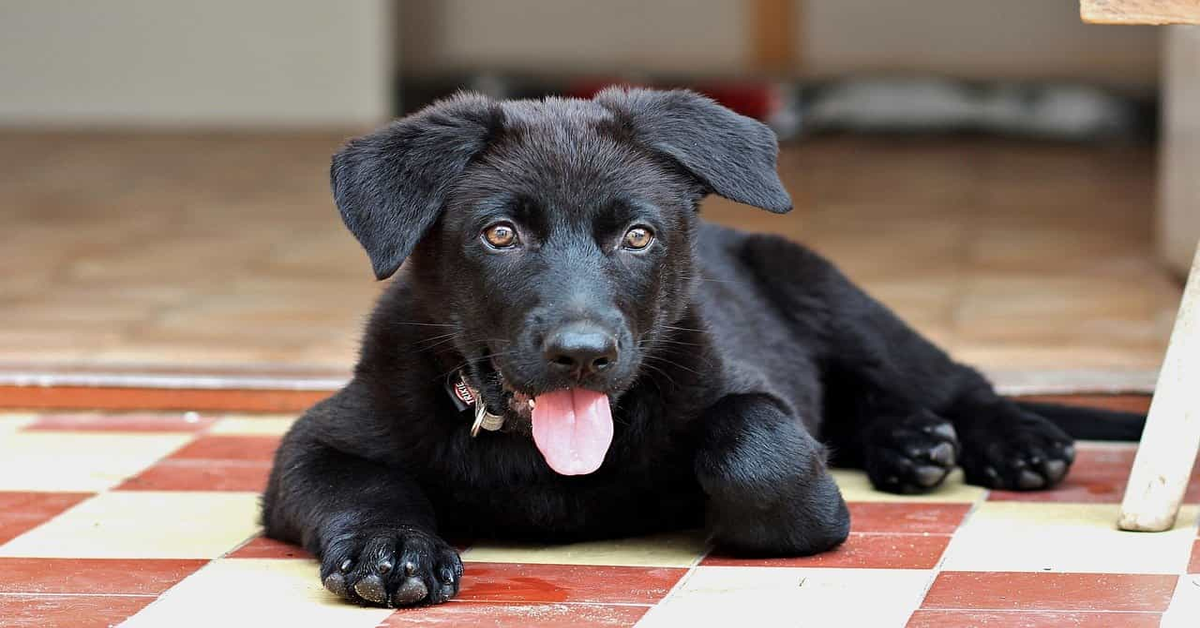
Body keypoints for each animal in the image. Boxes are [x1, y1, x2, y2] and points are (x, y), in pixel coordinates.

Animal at [262, 88, 1142, 609]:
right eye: (500, 235)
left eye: (638, 236)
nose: (582, 354)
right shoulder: (313, 443)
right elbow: (359, 482)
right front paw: (393, 546)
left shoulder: (746, 387)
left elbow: (759, 448)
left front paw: (793, 504)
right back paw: (912, 443)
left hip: (827, 291)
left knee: (950, 381)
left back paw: (1009, 442)